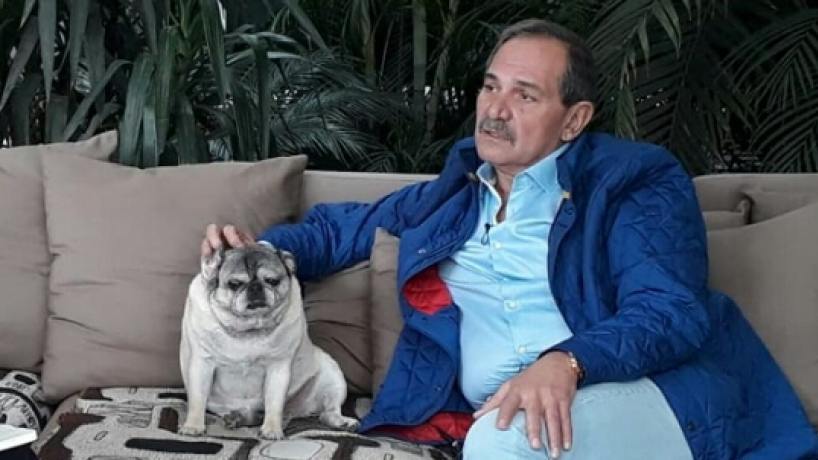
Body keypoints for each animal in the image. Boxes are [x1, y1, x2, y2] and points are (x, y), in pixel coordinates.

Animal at [179, 243, 358, 439]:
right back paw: (237, 418)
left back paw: (342, 422)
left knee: (326, 413)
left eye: (272, 281)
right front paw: (193, 425)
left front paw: (272, 429)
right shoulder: (202, 364)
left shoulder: (278, 369)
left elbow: (274, 403)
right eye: (234, 284)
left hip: (333, 377)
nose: (255, 287)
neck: (248, 329)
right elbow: (197, 399)